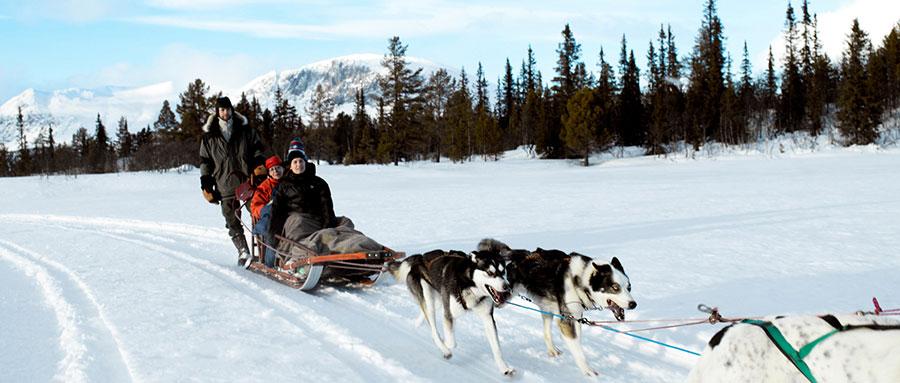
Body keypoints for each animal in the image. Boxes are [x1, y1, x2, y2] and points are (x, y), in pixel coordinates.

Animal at [482, 238, 636, 376]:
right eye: (615, 287)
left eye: (629, 287)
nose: (633, 304)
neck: (579, 279)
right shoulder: (566, 321)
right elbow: (578, 350)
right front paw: (588, 371)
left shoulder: (576, 317)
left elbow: (577, 341)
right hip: (501, 298)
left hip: (546, 309)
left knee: (546, 332)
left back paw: (552, 350)